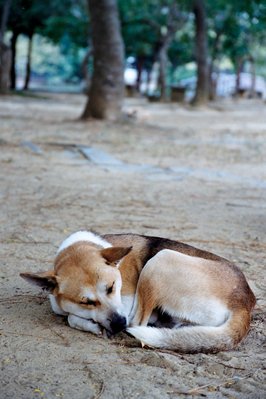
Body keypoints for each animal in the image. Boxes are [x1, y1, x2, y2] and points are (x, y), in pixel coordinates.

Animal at [20, 231, 256, 354]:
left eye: (112, 287)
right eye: (86, 301)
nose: (118, 324)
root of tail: (244, 301)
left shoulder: (126, 304)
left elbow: (70, 317)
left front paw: (91, 325)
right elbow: (71, 315)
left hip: (160, 260)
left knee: (137, 323)